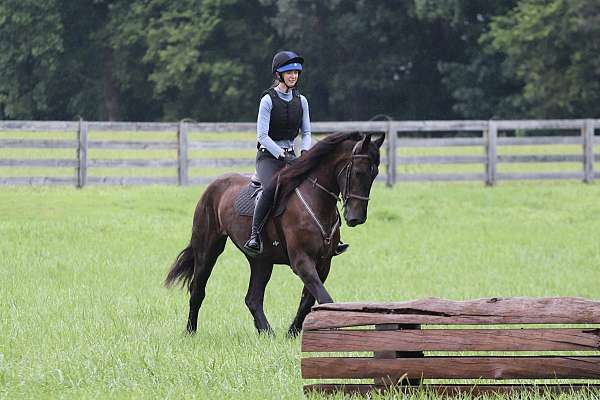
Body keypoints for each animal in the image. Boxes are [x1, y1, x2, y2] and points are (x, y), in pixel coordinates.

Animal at [164, 131, 384, 334]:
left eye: (374, 174)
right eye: (358, 172)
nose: (356, 218)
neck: (315, 199)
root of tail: (213, 185)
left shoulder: (323, 262)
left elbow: (308, 300)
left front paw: (292, 333)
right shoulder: (301, 261)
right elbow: (324, 298)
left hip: (261, 260)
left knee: (253, 298)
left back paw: (267, 332)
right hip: (208, 248)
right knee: (197, 289)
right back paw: (190, 331)